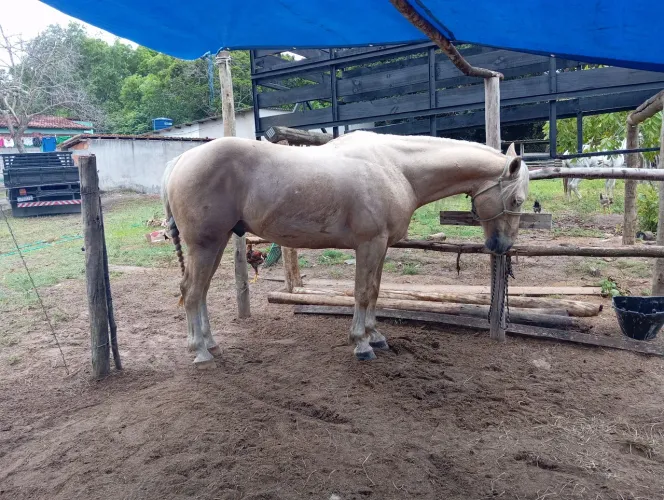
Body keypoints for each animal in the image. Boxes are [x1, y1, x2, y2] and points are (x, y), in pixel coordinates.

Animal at [161, 131, 530, 368]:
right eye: (518, 200)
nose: (502, 246)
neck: (395, 167)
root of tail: (181, 159)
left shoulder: (380, 246)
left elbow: (375, 291)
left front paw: (375, 335)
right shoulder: (369, 244)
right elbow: (363, 293)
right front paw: (362, 344)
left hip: (217, 242)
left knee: (199, 292)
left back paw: (210, 344)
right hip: (205, 243)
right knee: (192, 292)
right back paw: (201, 352)